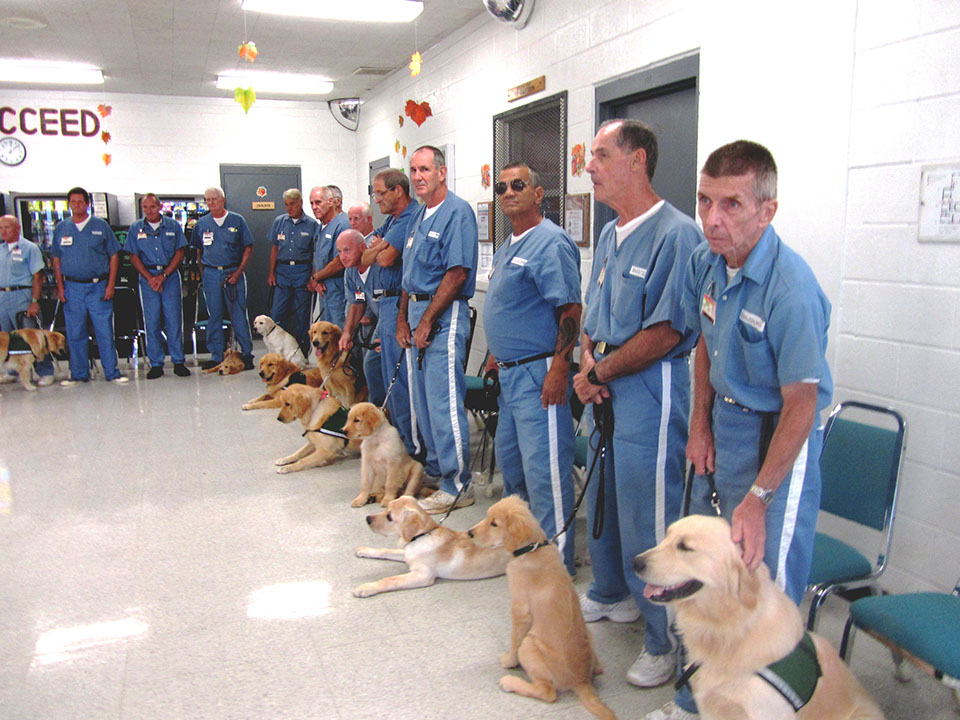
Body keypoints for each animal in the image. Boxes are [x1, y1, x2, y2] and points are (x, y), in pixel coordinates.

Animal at [352, 498, 510, 600]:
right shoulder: (408, 553)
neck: (421, 536)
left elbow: (390, 580)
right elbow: (386, 550)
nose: (367, 519)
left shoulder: (423, 575)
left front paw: (367, 588)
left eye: (389, 517)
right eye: (385, 509)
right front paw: (365, 550)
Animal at [468, 496, 620, 720]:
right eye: (487, 517)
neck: (532, 549)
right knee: (597, 669)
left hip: (530, 644)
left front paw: (509, 661)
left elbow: (514, 640)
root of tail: (581, 680)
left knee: (547, 692)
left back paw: (510, 682)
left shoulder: (520, 609)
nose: (469, 533)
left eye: (494, 524)